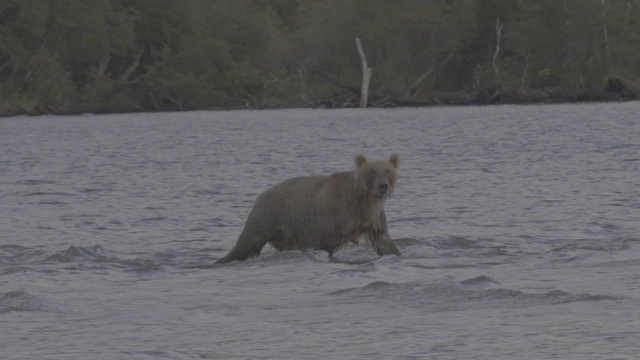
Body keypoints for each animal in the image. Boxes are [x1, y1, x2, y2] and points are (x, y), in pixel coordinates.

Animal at [218, 153, 402, 262]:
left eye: (388, 170)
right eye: (372, 171)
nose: (383, 186)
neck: (365, 200)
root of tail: (261, 194)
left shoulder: (373, 219)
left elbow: (385, 241)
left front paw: (396, 254)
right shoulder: (334, 218)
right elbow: (327, 244)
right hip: (267, 217)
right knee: (246, 243)